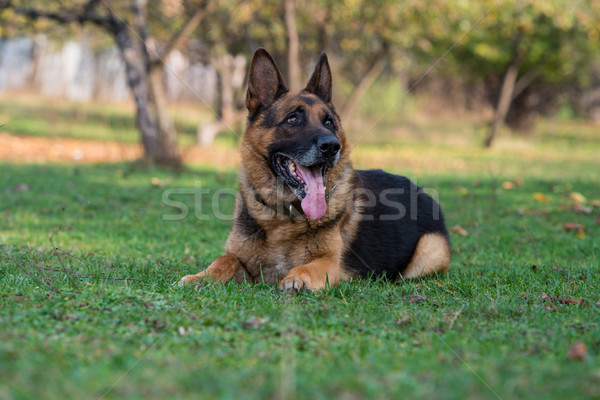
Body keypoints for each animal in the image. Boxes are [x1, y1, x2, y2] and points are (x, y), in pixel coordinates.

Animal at [179, 48, 450, 290]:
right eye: (293, 119)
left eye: (328, 122)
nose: (332, 146)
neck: (284, 216)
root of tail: (420, 190)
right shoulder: (241, 258)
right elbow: (223, 259)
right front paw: (200, 276)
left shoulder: (330, 263)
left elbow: (311, 266)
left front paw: (298, 278)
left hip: (428, 250)